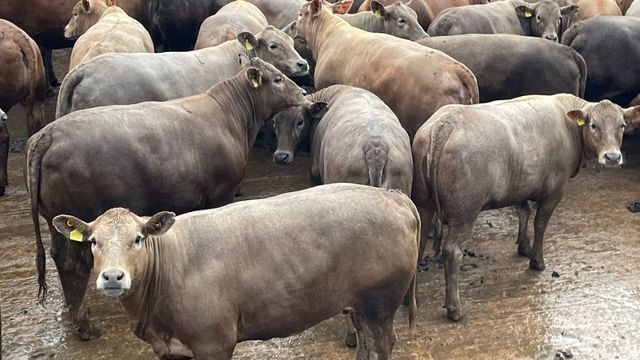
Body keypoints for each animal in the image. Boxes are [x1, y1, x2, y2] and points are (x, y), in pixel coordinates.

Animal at [26, 57, 310, 340]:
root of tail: (47, 134)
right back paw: (85, 325)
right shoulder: (221, 193)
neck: (230, 116)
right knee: (73, 265)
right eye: (278, 79)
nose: (304, 93)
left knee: (58, 257)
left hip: (55, 220)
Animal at [50, 184, 420, 358]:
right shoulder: (170, 349)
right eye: (93, 241)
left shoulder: (214, 342)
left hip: (380, 301)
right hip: (358, 304)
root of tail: (394, 196)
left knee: (381, 344)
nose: (113, 276)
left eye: (138, 238)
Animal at [412, 94, 636, 322]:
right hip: (465, 212)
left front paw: (523, 246)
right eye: (593, 125)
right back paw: (454, 308)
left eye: (622, 125)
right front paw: (537, 260)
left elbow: (523, 212)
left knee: (418, 244)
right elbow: (540, 224)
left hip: (423, 202)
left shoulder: (520, 185)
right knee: (453, 252)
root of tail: (444, 124)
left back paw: (413, 299)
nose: (612, 157)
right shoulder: (554, 191)